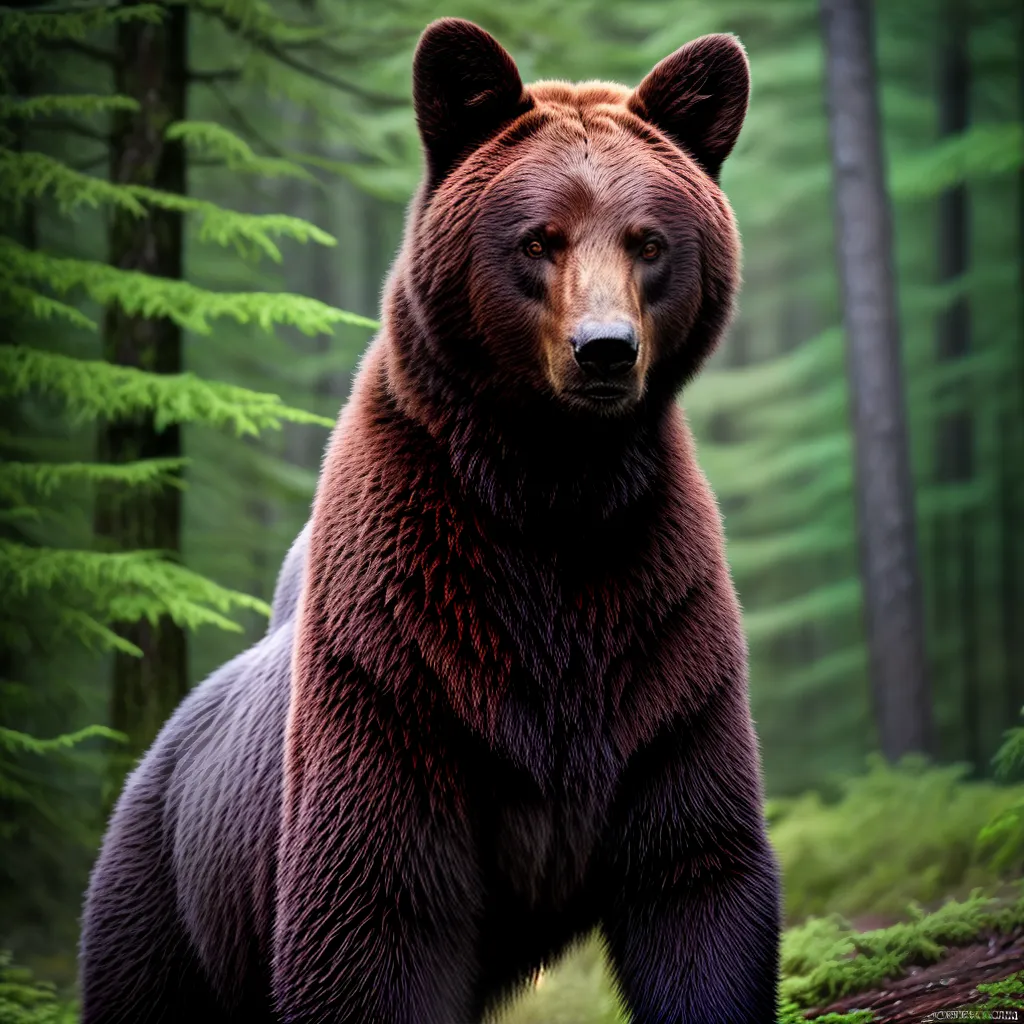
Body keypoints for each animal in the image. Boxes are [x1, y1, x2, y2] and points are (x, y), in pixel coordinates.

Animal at [79, 17, 781, 1024]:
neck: (550, 486)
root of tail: (159, 748)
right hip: (173, 904)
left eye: (649, 240)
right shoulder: (403, 666)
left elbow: (694, 882)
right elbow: (376, 915)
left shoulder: (657, 647)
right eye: (539, 239)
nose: (605, 350)